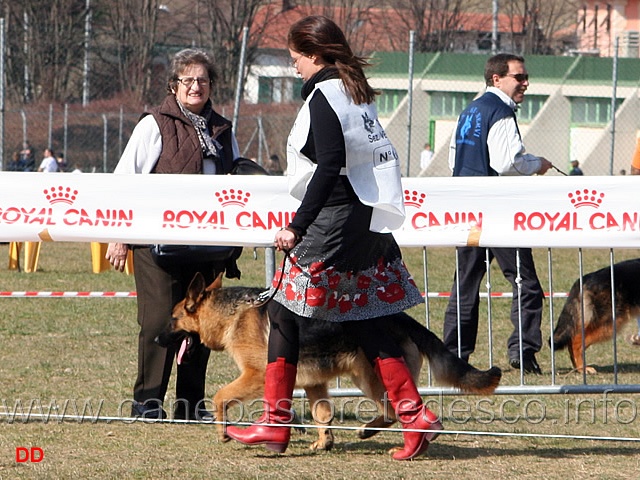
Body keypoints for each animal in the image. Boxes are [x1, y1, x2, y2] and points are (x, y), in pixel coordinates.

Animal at [162, 274, 502, 450]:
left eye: (173, 319)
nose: (155, 339)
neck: (233, 312)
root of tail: (402, 318)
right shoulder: (315, 383)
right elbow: (322, 414)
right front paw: (323, 442)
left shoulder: (256, 375)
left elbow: (220, 395)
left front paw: (223, 432)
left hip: (369, 378)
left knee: (394, 411)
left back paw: (380, 434)